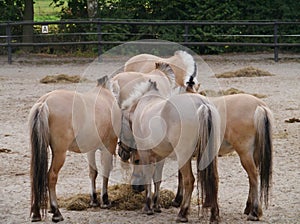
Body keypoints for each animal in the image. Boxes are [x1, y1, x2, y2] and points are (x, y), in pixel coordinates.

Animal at [28, 75, 120, 222]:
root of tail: (44, 102)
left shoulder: (90, 150)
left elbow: (93, 173)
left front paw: (94, 200)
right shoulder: (108, 147)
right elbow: (105, 172)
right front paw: (105, 201)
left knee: (35, 176)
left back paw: (36, 213)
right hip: (60, 153)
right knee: (51, 176)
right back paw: (56, 212)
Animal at [118, 79, 221, 223]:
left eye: (121, 128)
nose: (120, 152)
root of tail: (202, 104)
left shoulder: (145, 154)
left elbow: (148, 177)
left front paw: (147, 206)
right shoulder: (160, 157)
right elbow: (157, 179)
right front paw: (156, 205)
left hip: (184, 156)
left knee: (189, 180)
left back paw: (182, 213)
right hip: (210, 156)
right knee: (214, 179)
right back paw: (214, 215)